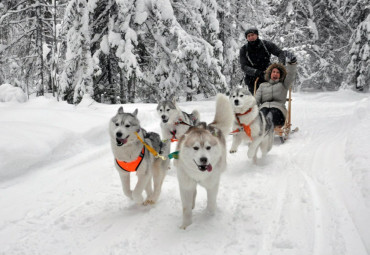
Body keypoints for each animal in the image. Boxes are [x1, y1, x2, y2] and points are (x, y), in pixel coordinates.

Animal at [175, 94, 233, 229]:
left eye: (208, 147)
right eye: (195, 148)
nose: (204, 159)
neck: (199, 174)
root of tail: (211, 126)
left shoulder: (212, 185)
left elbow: (211, 204)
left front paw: (209, 218)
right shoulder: (185, 185)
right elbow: (186, 209)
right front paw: (186, 226)